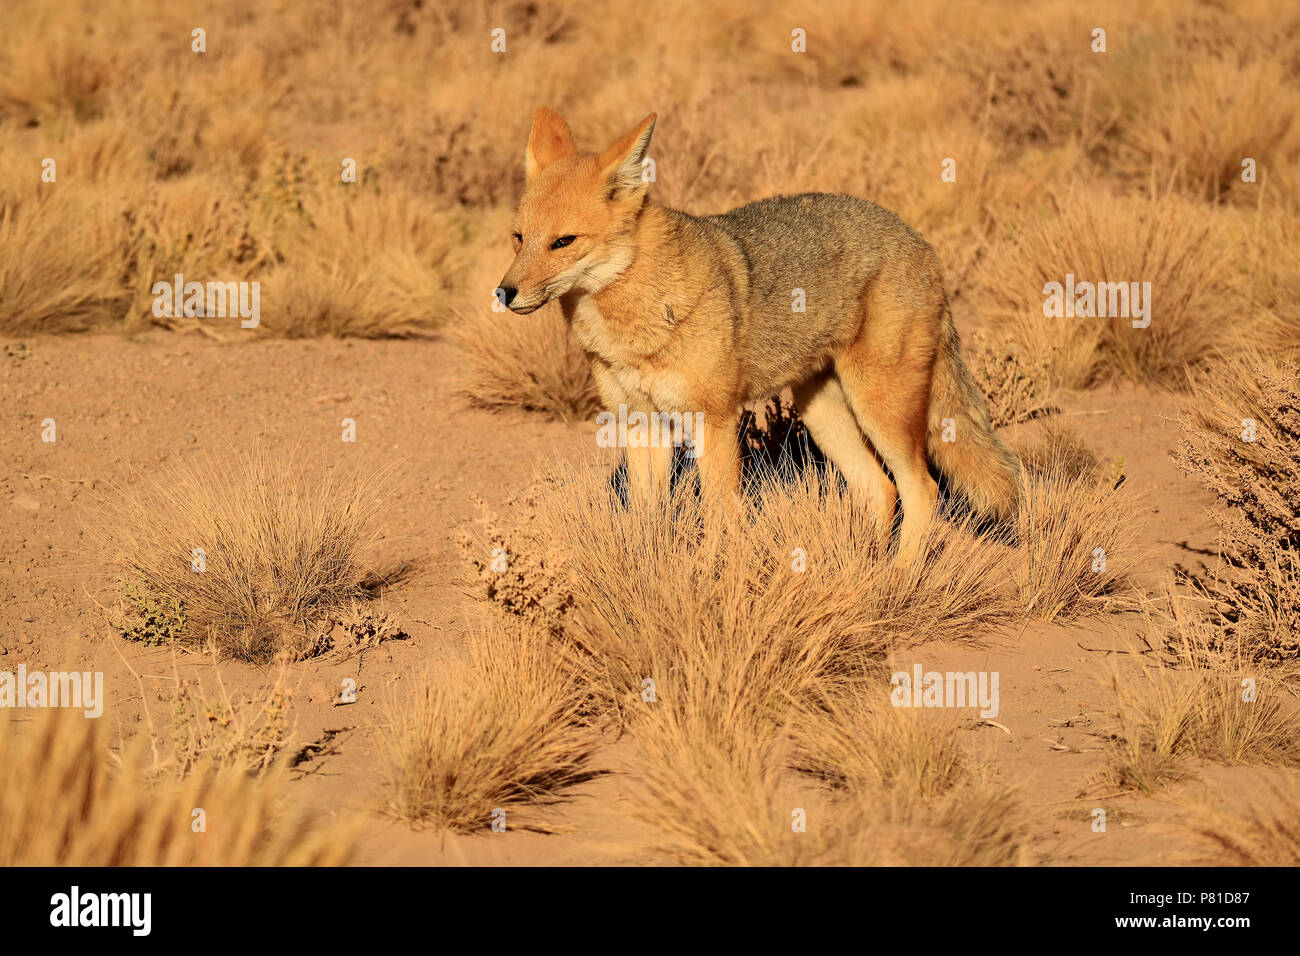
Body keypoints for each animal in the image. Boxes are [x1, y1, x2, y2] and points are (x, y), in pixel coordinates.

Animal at [496, 109, 1013, 564]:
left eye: (563, 242)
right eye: (519, 238)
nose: (503, 293)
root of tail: (921, 243)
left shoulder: (715, 421)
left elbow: (721, 519)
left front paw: (713, 578)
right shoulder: (642, 423)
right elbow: (647, 521)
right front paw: (646, 574)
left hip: (880, 409)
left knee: (921, 488)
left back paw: (897, 578)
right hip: (824, 414)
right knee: (880, 488)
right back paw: (859, 570)